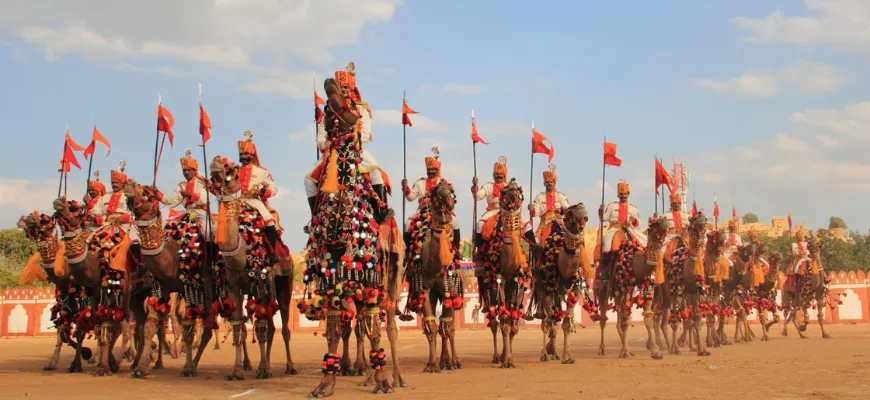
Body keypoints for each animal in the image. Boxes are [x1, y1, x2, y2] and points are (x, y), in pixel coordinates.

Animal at [16, 214, 94, 374]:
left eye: (47, 223)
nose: (22, 222)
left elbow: (78, 333)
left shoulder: (85, 304)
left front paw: (78, 362)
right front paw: (52, 363)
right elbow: (63, 333)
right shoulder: (65, 306)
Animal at [406, 180, 466, 374]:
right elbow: (431, 325)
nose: (450, 201)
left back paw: (449, 361)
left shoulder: (450, 289)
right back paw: (441, 362)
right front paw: (432, 365)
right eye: (436, 193)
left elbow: (448, 325)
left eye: (451, 191)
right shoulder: (425, 289)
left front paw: (454, 362)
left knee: (447, 326)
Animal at [528, 205, 596, 364]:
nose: (583, 215)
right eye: (569, 213)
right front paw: (547, 353)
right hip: (541, 286)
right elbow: (550, 320)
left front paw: (568, 356)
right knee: (545, 319)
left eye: (586, 214)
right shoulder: (547, 288)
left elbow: (566, 322)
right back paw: (547, 352)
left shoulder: (575, 289)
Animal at [596, 217, 672, 360]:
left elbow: (647, 319)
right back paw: (602, 349)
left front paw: (655, 351)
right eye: (654, 224)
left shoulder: (648, 289)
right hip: (602, 290)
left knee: (619, 316)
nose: (667, 221)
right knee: (603, 317)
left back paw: (626, 350)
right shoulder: (626, 287)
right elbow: (626, 320)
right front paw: (625, 352)